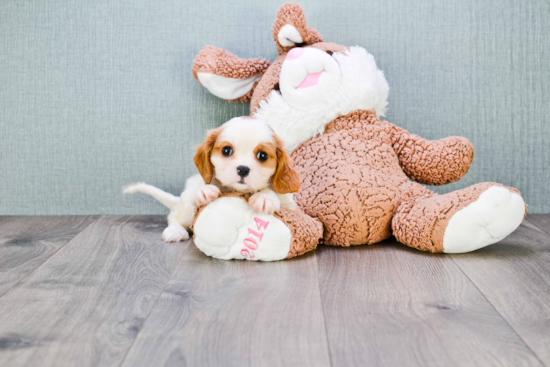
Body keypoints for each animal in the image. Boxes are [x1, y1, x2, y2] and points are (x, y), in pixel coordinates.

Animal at [124, 118, 302, 243]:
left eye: (262, 155)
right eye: (226, 150)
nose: (243, 169)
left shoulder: (291, 207)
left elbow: (276, 194)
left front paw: (264, 197)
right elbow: (205, 186)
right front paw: (204, 191)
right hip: (186, 207)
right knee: (174, 217)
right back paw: (176, 231)